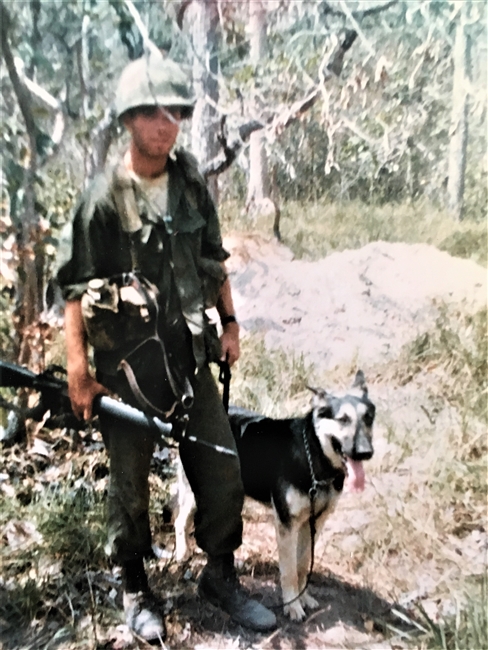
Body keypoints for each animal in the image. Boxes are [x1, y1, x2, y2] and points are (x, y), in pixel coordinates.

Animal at [173, 370, 376, 616]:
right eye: (343, 419)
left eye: (368, 418)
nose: (366, 453)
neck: (313, 457)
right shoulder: (287, 525)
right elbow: (289, 570)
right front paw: (292, 606)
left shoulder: (314, 523)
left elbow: (302, 564)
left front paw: (303, 597)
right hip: (195, 491)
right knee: (180, 520)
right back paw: (182, 552)